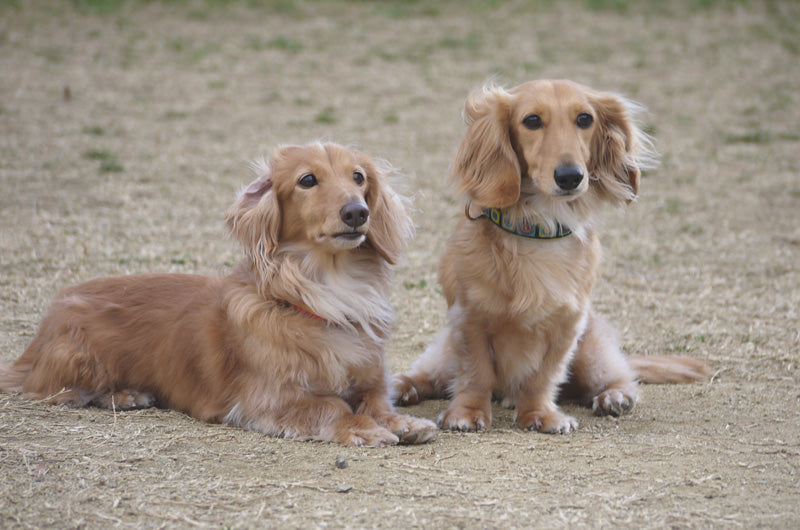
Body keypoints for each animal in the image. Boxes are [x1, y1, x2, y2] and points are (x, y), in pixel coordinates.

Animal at [1, 141, 438, 446]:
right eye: (307, 180)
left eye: (359, 177)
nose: (357, 212)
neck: (327, 291)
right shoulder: (269, 397)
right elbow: (330, 405)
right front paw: (363, 427)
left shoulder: (371, 378)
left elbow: (377, 401)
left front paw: (401, 422)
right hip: (79, 360)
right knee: (58, 391)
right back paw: (125, 394)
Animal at [390, 79, 708, 434]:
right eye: (531, 121)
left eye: (584, 119)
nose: (570, 176)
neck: (538, 228)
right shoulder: (469, 319)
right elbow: (475, 372)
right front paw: (468, 413)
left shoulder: (567, 325)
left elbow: (543, 376)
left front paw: (540, 414)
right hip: (444, 352)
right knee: (430, 376)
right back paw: (402, 386)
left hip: (592, 354)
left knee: (618, 378)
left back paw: (614, 397)